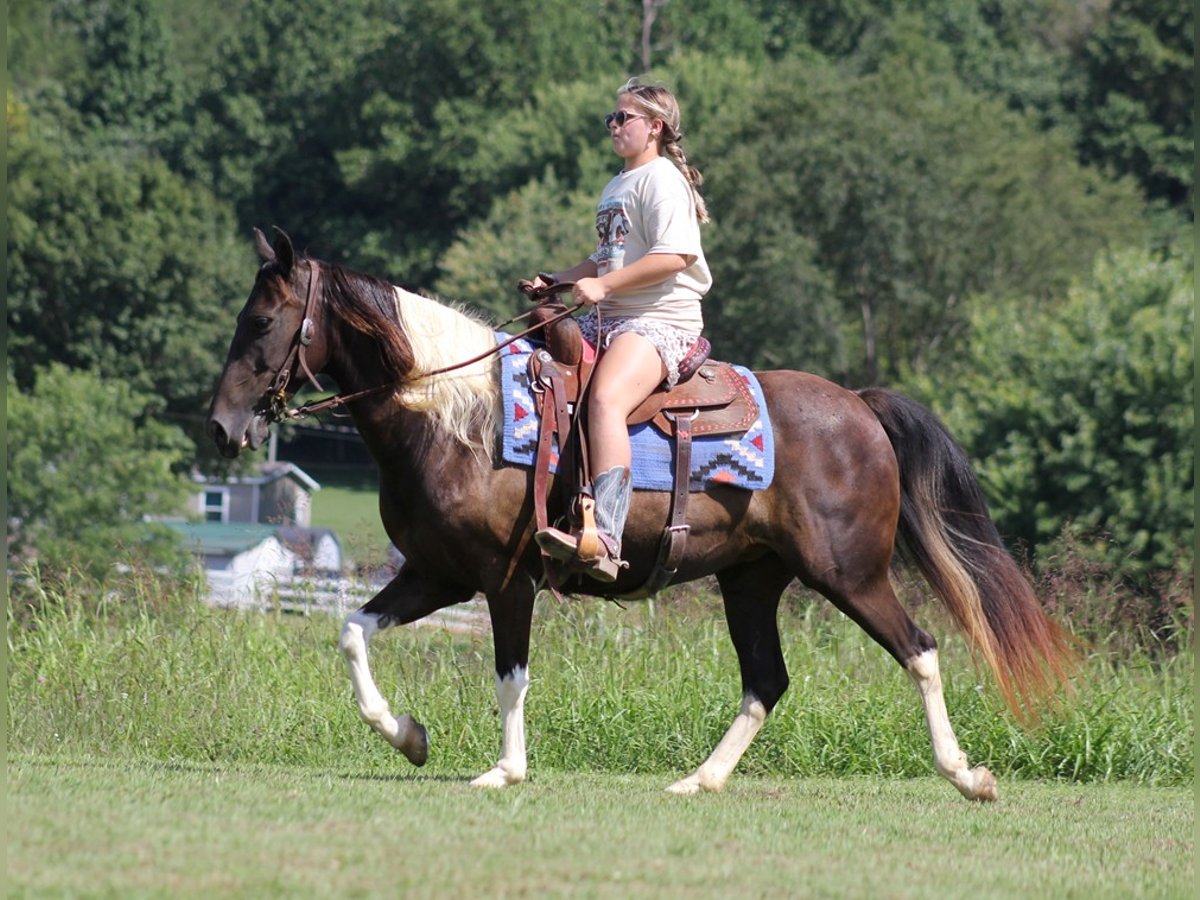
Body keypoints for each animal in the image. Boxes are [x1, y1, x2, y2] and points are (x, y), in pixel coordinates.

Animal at [208, 229, 1080, 801]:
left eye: (260, 322)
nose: (221, 427)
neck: (456, 416)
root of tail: (860, 406)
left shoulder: (505, 580)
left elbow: (510, 674)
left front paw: (504, 769)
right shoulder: (437, 573)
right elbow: (351, 631)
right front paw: (409, 737)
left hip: (849, 573)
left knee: (921, 650)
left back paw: (967, 775)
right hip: (751, 580)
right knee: (767, 679)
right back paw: (700, 779)